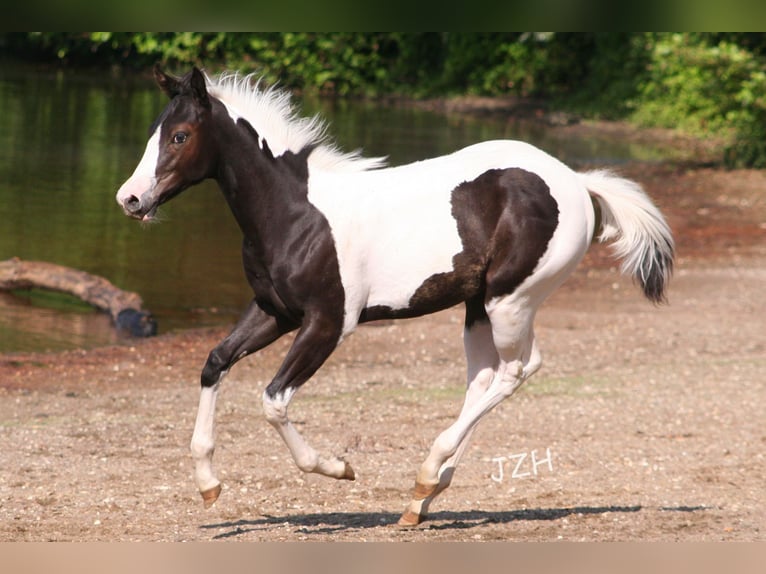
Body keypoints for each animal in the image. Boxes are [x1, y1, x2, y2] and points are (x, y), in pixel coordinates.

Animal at [114, 65, 672, 528]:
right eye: (154, 134)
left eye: (181, 136)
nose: (130, 199)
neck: (297, 213)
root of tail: (575, 181)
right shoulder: (274, 312)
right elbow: (215, 362)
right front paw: (209, 485)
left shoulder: (329, 322)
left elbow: (273, 400)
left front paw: (338, 467)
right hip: (476, 307)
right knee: (485, 378)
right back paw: (423, 497)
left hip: (510, 301)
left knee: (516, 371)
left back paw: (428, 475)